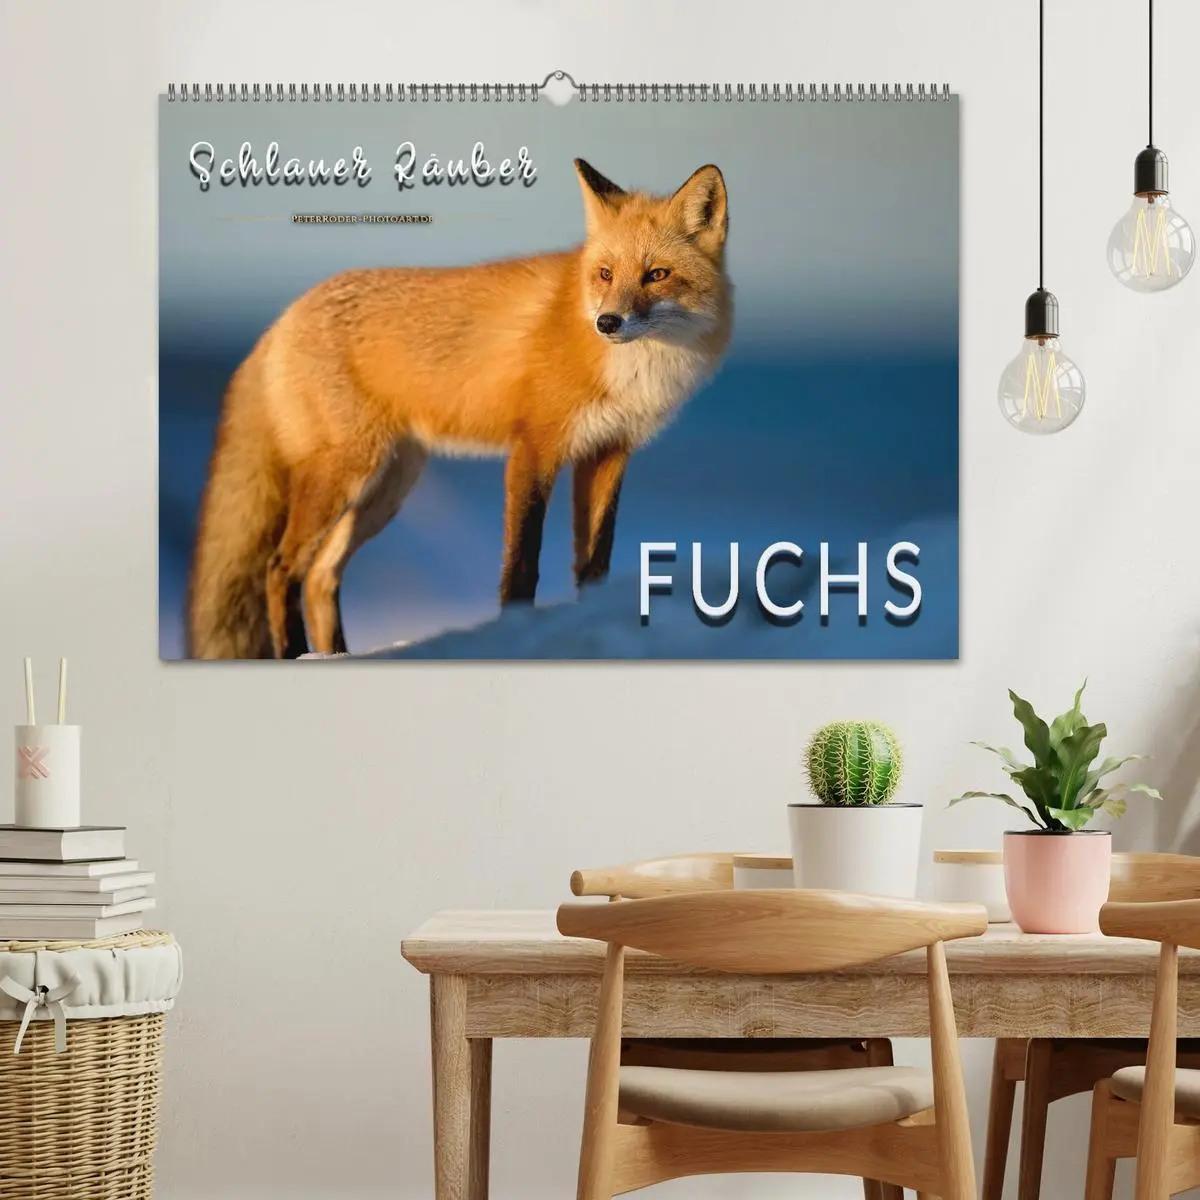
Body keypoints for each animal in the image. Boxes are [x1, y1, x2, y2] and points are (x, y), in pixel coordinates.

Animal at [186, 157, 733, 659]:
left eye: (657, 275)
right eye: (605, 274)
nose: (608, 322)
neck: (633, 369)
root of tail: (282, 319)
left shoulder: (608, 452)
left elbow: (594, 564)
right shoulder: (534, 448)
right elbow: (522, 564)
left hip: (386, 488)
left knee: (321, 576)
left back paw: (334, 654)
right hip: (345, 474)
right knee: (280, 569)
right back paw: (297, 654)